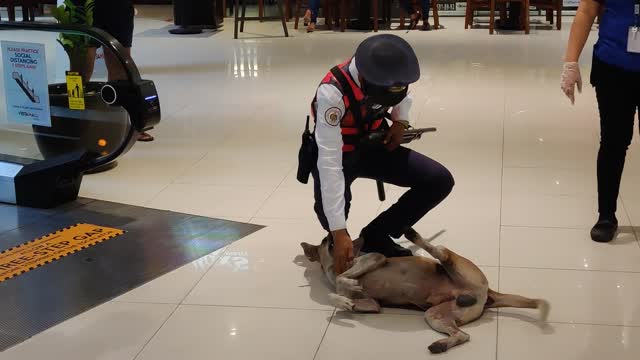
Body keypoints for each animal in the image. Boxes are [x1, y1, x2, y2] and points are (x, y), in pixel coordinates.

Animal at [300, 229, 552, 352]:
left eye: (324, 241)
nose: (329, 233)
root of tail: (489, 292)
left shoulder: (375, 258)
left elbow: (342, 279)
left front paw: (346, 284)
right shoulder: (372, 305)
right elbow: (345, 298)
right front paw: (345, 302)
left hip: (455, 266)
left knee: (441, 252)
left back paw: (415, 236)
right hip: (436, 315)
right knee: (463, 335)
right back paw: (440, 345)